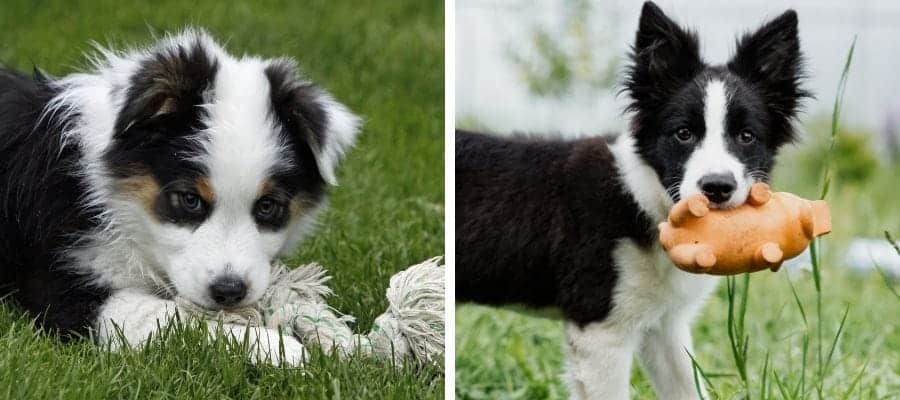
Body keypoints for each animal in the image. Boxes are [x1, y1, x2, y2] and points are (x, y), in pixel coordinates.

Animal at [0, 28, 358, 366]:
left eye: (268, 206)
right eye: (189, 199)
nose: (229, 292)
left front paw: (335, 338)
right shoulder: (64, 283)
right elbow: (170, 317)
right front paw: (275, 348)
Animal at [458, 3, 808, 400]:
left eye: (746, 136)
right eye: (683, 134)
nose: (717, 187)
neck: (642, 200)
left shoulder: (665, 325)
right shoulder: (600, 331)